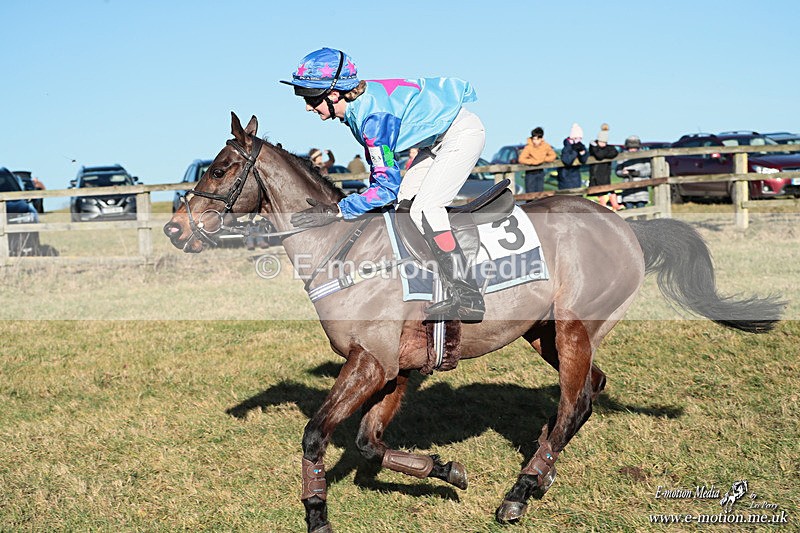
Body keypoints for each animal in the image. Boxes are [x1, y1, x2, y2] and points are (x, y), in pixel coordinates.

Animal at [164, 113, 783, 532]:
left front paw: (317, 513)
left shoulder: (372, 363)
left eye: (220, 169)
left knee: (573, 402)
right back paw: (541, 469)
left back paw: (521, 490)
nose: (175, 228)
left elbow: (318, 433)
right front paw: (447, 470)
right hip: (544, 332)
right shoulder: (396, 368)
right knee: (589, 391)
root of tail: (626, 225)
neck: (343, 249)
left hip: (574, 327)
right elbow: (369, 443)